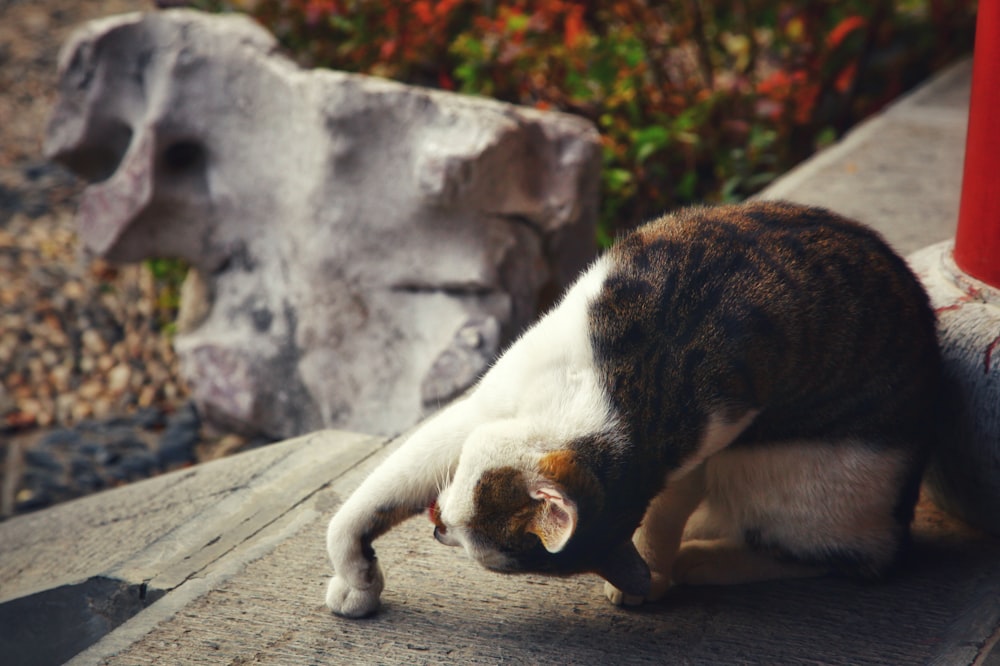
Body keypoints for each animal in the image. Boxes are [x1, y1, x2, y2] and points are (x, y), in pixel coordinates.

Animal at [324, 198, 940, 616]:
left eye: (474, 539)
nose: (439, 531)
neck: (625, 395)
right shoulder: (486, 405)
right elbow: (369, 501)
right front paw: (356, 577)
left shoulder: (702, 449)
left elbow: (662, 518)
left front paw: (652, 578)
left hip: (788, 471)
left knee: (842, 555)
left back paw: (701, 560)